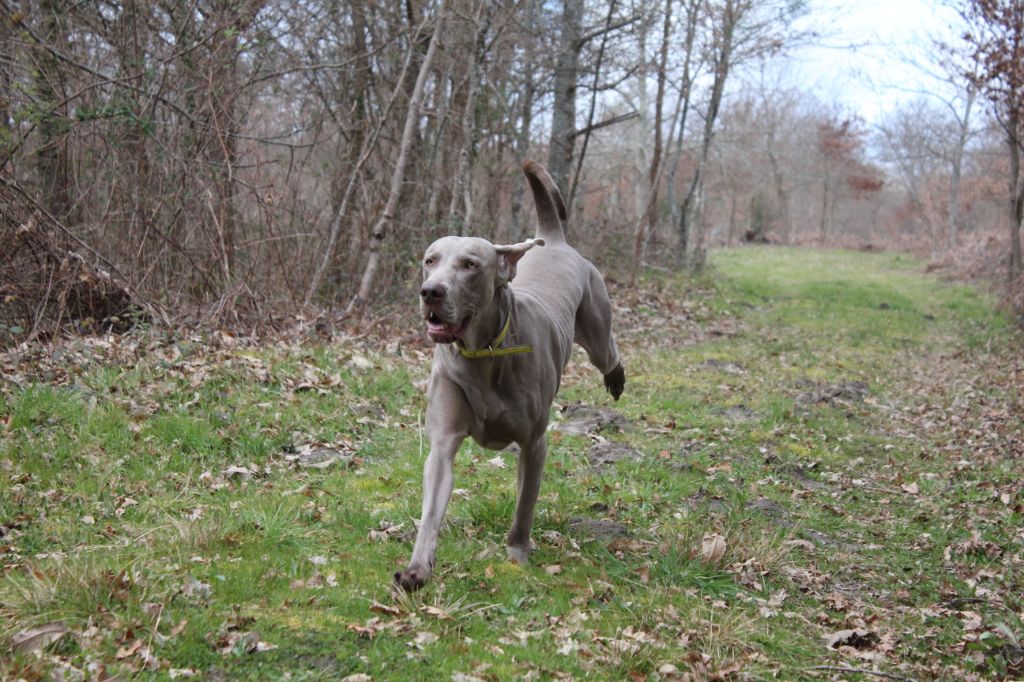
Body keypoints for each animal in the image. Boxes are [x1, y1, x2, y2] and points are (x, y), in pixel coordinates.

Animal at [395, 159, 622, 589]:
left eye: (470, 264)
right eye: (430, 259)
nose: (430, 292)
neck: (483, 355)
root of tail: (554, 241)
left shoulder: (535, 442)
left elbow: (525, 506)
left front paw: (517, 553)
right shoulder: (443, 442)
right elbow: (432, 506)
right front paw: (416, 568)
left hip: (598, 328)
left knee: (609, 354)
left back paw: (616, 379)